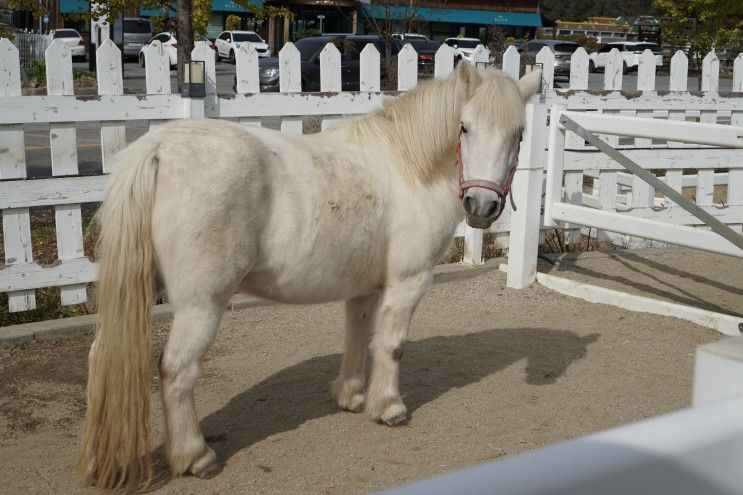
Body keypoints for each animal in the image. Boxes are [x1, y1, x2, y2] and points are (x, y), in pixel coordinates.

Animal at [78, 61, 540, 488]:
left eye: (519, 134)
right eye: (464, 127)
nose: (481, 206)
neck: (408, 165)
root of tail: (159, 149)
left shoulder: (363, 289)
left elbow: (358, 337)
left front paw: (351, 396)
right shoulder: (408, 282)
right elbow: (391, 346)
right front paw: (388, 408)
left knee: (102, 355)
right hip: (200, 306)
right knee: (177, 369)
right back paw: (195, 456)